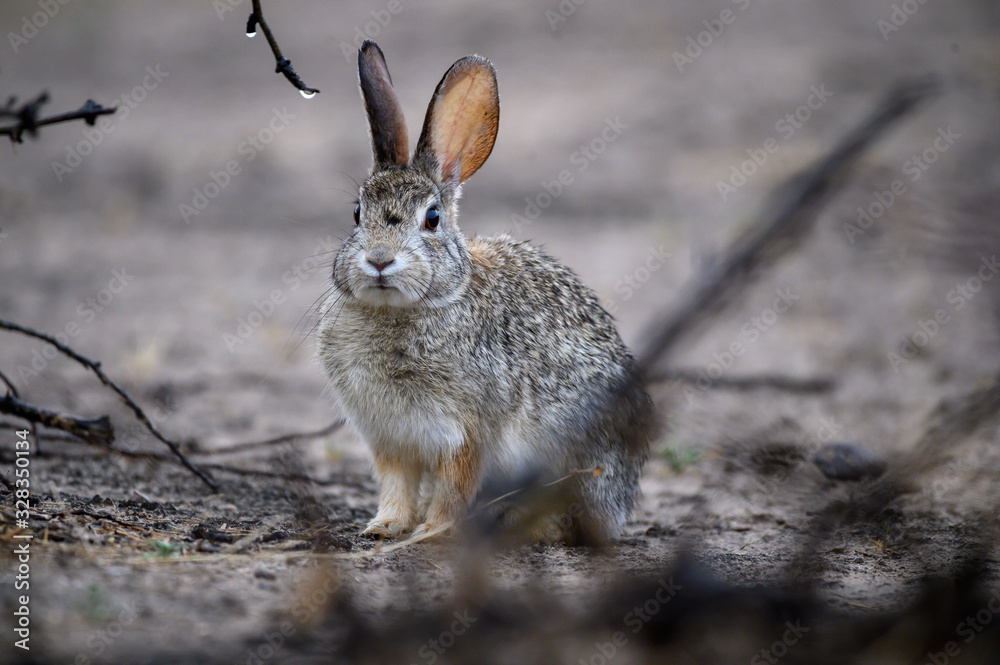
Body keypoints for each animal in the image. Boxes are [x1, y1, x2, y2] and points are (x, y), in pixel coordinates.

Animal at [316, 39, 652, 544]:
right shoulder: (390, 439)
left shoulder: (465, 433)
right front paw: (385, 526)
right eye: (357, 213)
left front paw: (432, 531)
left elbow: (455, 486)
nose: (378, 259)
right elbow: (396, 484)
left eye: (433, 218)